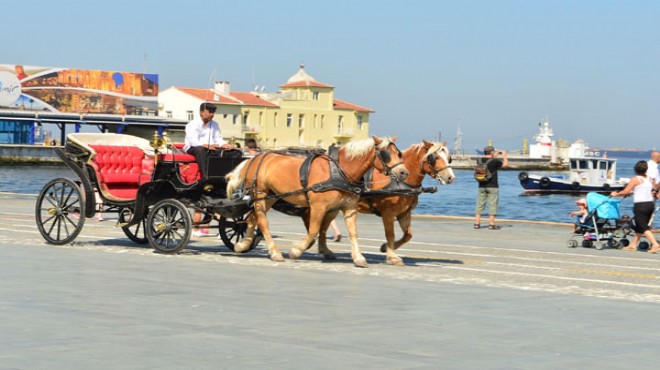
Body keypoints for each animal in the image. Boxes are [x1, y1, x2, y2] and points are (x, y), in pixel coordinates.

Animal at [226, 135, 408, 266]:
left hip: (269, 196)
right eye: (386, 154)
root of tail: (253, 158)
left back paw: (243, 244)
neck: (339, 171)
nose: (404, 172)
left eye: (399, 153)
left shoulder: (349, 207)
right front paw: (296, 250)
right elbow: (313, 231)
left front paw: (358, 257)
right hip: (260, 193)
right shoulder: (318, 207)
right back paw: (275, 252)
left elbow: (352, 232)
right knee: (262, 222)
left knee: (253, 218)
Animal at [314, 140, 454, 264]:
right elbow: (390, 234)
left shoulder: (404, 213)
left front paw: (385, 247)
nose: (450, 177)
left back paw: (325, 249)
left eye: (449, 158)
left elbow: (407, 235)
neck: (400, 181)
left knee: (324, 225)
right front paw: (392, 256)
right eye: (434, 157)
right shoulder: (388, 213)